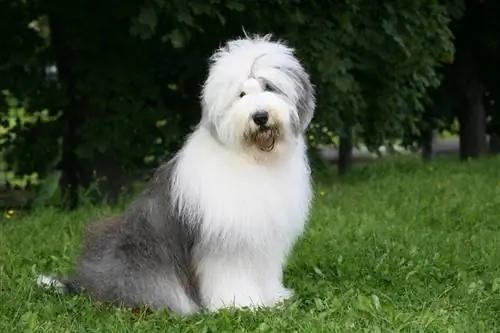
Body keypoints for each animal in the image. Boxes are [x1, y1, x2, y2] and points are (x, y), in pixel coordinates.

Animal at [37, 33, 314, 314]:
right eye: (241, 94)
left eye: (269, 87)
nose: (260, 117)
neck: (252, 159)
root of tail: (87, 284)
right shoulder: (227, 242)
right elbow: (232, 275)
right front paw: (240, 304)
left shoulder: (266, 240)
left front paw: (274, 298)